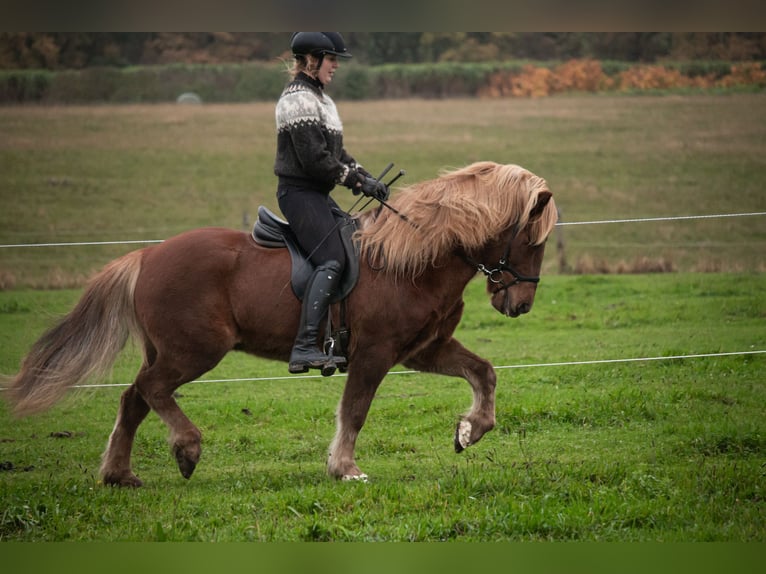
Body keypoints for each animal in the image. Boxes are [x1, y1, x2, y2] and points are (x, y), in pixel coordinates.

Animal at [4, 161, 557, 486]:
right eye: (532, 240)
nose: (521, 304)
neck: (411, 259)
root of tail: (146, 255)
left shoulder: (423, 349)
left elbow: (484, 372)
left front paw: (470, 431)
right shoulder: (374, 353)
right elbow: (355, 411)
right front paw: (345, 468)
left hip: (169, 349)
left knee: (134, 398)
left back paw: (120, 474)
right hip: (194, 350)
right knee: (152, 389)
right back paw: (187, 448)